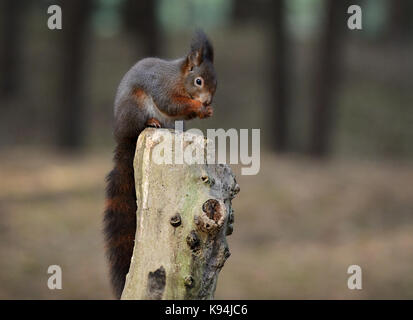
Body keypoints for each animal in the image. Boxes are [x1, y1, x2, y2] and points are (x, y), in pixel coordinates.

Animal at [103, 28, 217, 298]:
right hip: (136, 107)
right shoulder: (162, 88)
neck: (179, 78)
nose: (208, 101)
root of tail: (122, 137)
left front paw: (206, 110)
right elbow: (171, 103)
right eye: (199, 81)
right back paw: (152, 122)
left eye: (216, 81)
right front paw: (199, 107)